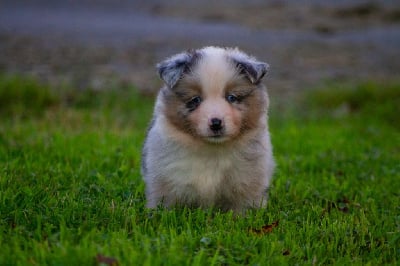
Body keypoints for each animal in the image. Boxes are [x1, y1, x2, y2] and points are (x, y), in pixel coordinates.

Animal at [141, 45, 276, 212]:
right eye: (195, 100)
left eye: (231, 97)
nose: (216, 123)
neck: (212, 150)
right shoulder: (165, 182)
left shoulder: (248, 182)